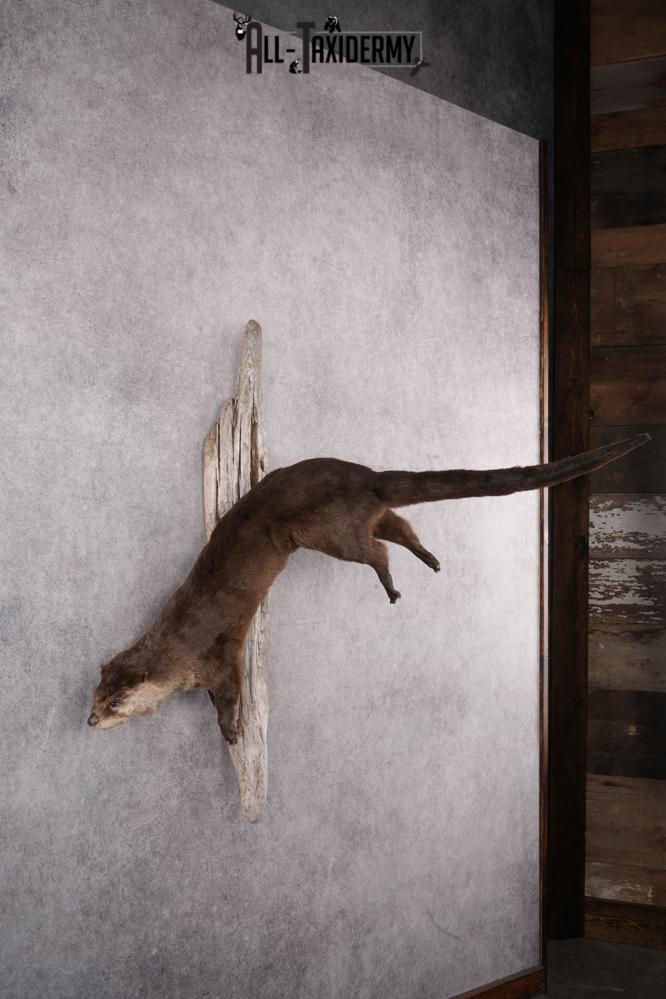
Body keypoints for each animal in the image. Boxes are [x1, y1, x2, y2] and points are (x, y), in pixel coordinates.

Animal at [87, 433, 649, 744]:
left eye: (115, 703)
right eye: (94, 694)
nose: (90, 720)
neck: (177, 643)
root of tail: (365, 476)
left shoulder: (218, 655)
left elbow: (227, 696)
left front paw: (231, 732)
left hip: (330, 532)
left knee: (376, 548)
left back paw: (393, 588)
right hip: (358, 517)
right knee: (397, 525)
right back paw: (430, 560)